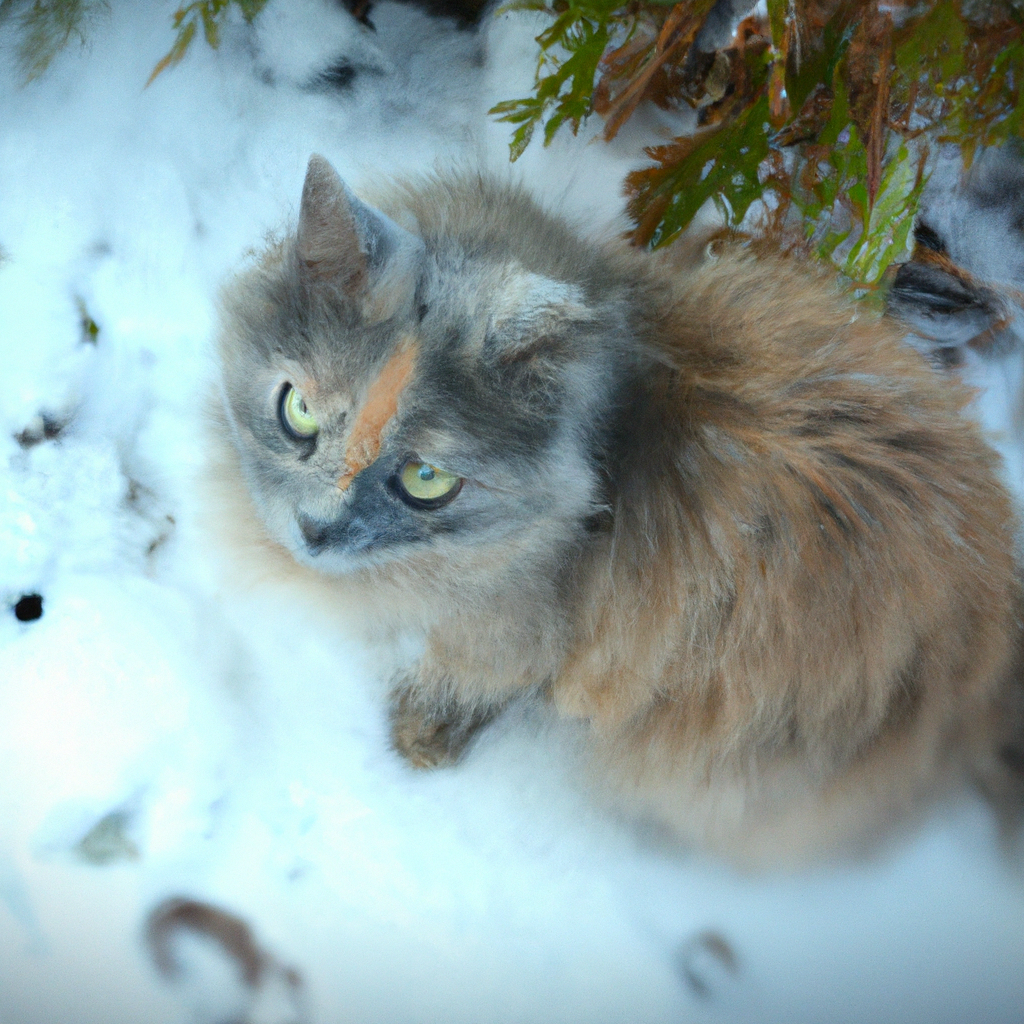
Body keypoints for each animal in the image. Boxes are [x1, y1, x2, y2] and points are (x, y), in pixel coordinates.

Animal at [214, 154, 1023, 866]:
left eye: (425, 478)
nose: (315, 530)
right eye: (298, 412)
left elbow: (473, 675)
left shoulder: (523, 629)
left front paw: (419, 738)